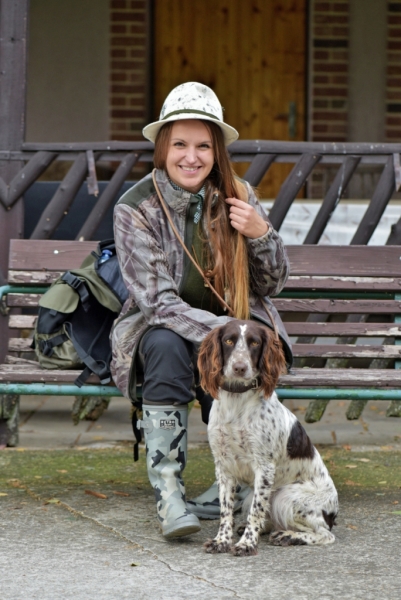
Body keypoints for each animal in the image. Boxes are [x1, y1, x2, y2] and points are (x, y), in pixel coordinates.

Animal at [198, 320, 338, 557]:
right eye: (228, 341)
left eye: (254, 343)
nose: (240, 367)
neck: (236, 401)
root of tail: (333, 512)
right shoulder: (223, 465)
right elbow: (225, 509)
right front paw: (221, 540)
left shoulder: (264, 466)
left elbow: (256, 511)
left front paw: (246, 544)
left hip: (286, 497)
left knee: (325, 534)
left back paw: (289, 536)